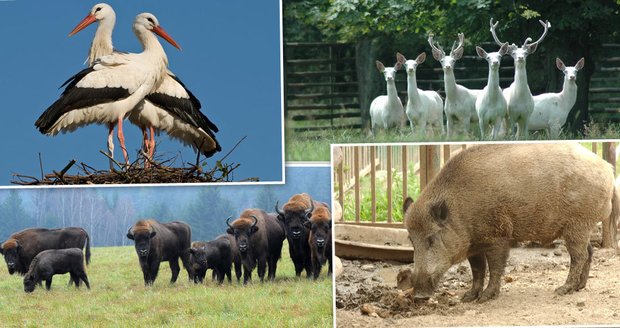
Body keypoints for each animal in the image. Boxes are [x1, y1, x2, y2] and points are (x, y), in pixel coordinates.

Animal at [402, 145, 620, 304]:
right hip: (580, 227)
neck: (460, 211)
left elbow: (495, 267)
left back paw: (561, 290)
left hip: (578, 225)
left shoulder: (498, 235)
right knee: (589, 251)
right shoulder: (474, 245)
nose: (419, 297)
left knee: (579, 256)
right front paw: (467, 298)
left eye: (431, 238)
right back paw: (579, 288)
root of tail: (609, 170)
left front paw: (484, 299)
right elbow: (477, 270)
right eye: (411, 240)